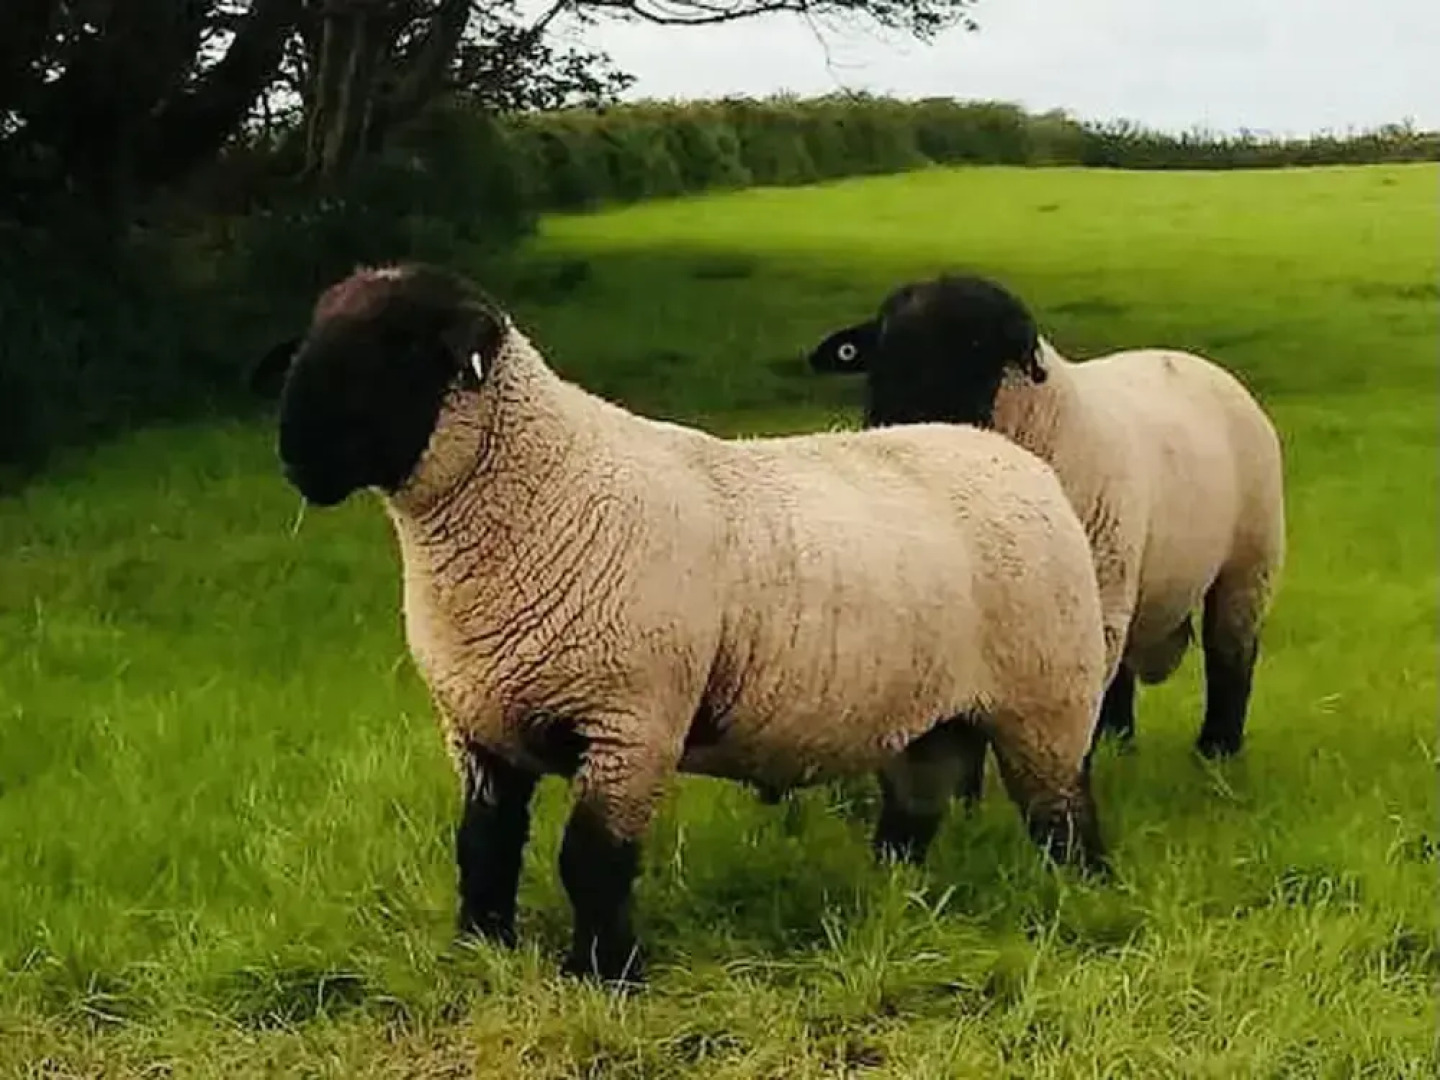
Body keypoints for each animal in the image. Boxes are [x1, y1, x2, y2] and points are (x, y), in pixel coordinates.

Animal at [249, 262, 1112, 986]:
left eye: (400, 346)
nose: (295, 455)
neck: (540, 489)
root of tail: (1004, 452)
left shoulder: (630, 722)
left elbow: (590, 860)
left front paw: (603, 973)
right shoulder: (479, 725)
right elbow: (483, 849)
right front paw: (480, 949)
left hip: (1048, 699)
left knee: (1064, 815)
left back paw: (1085, 898)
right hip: (926, 714)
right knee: (915, 808)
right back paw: (893, 894)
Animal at [806, 273, 1286, 784]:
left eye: (978, 347)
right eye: (882, 349)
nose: (895, 425)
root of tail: (1192, 360)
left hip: (1248, 561)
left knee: (1230, 654)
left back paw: (1217, 750)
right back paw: (1120, 740)